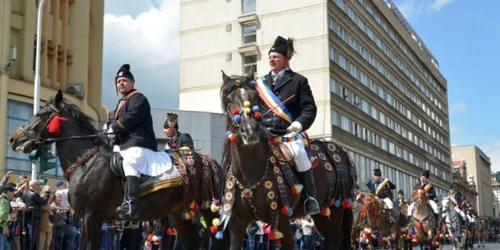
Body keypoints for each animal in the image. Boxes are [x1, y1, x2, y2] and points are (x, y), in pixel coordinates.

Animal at [8, 90, 228, 250]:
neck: (85, 162)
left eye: (41, 114)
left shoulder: (92, 216)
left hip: (207, 208)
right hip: (178, 212)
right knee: (193, 242)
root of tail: (211, 162)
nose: (13, 139)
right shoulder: (83, 217)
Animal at [217, 71, 358, 250]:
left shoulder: (283, 221)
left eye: (255, 97)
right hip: (322, 214)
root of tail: (340, 150)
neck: (249, 172)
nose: (250, 130)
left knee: (335, 240)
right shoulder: (237, 223)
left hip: (337, 209)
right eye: (229, 100)